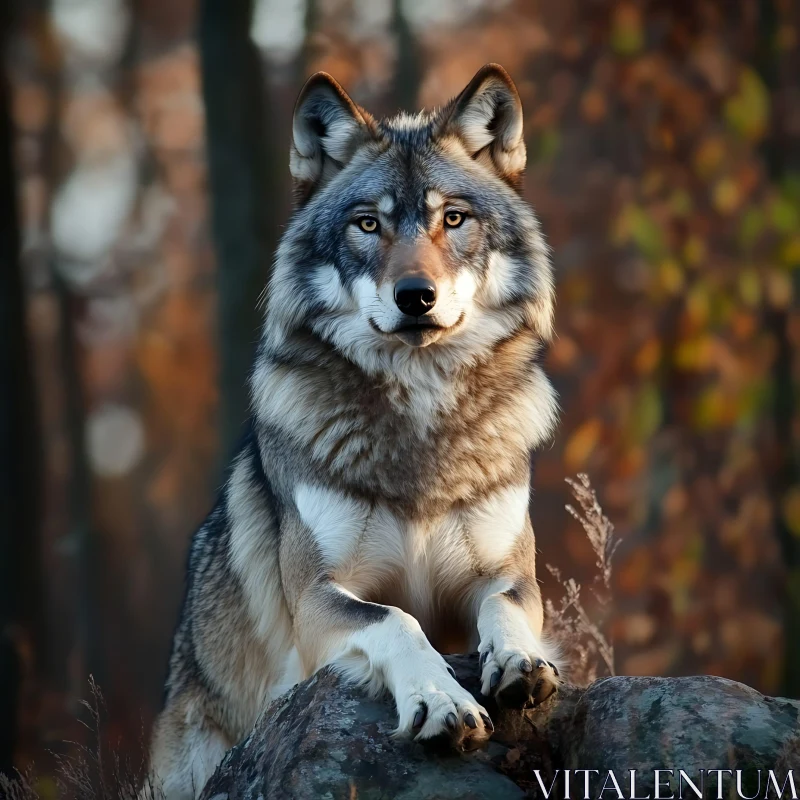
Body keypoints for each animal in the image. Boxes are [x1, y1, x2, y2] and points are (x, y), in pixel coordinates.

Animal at [148, 65, 564, 796]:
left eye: (452, 218)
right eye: (368, 223)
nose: (415, 296)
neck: (419, 420)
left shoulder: (505, 574)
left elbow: (506, 609)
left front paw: (518, 662)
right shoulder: (318, 600)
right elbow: (397, 621)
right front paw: (442, 702)